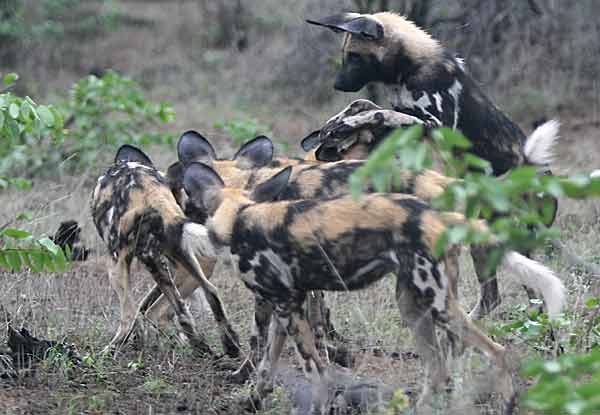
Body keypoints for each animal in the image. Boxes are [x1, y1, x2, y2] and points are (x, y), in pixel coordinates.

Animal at [89, 145, 239, 356]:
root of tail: (151, 195)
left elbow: (139, 313)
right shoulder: (175, 261)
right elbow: (149, 308)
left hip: (119, 268)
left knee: (133, 316)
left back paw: (107, 352)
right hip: (182, 255)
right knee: (208, 293)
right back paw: (225, 346)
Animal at [183, 160, 568, 412]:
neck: (240, 217)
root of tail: (442, 215)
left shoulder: (288, 308)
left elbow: (315, 372)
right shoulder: (285, 308)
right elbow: (265, 366)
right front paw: (251, 401)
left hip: (439, 304)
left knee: (497, 352)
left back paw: (507, 402)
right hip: (413, 307)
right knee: (438, 369)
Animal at [304, 12, 564, 318]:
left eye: (355, 57)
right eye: (345, 56)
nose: (337, 85)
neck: (408, 69)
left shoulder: (432, 124)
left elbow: (379, 112)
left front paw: (348, 123)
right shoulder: (404, 123)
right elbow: (367, 103)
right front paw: (337, 122)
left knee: (531, 297)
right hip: (483, 242)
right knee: (498, 297)